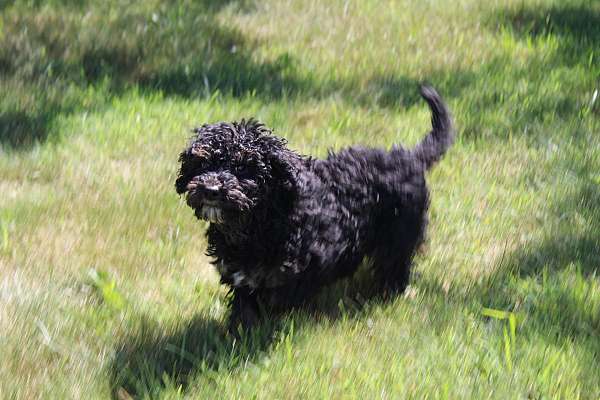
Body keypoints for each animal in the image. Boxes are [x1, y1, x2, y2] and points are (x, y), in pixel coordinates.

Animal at [176, 86, 452, 330]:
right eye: (204, 163)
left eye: (244, 167)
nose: (212, 189)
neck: (259, 224)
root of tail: (408, 157)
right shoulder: (242, 278)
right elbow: (245, 310)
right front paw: (238, 333)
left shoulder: (302, 269)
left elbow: (279, 302)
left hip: (400, 232)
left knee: (396, 265)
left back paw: (385, 294)